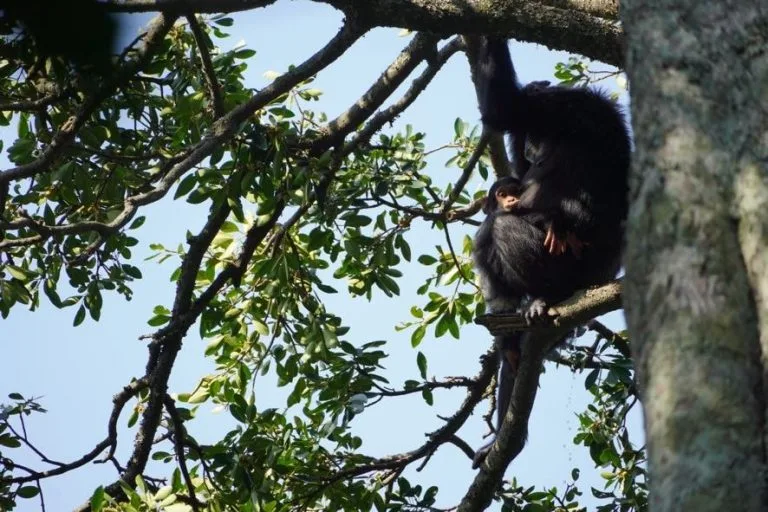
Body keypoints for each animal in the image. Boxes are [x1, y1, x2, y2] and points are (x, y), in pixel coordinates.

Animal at [470, 37, 631, 468]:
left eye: (538, 133)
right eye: (527, 140)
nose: (530, 145)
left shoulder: (563, 107)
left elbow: (504, 107)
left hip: (573, 270)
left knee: (500, 229)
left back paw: (545, 297)